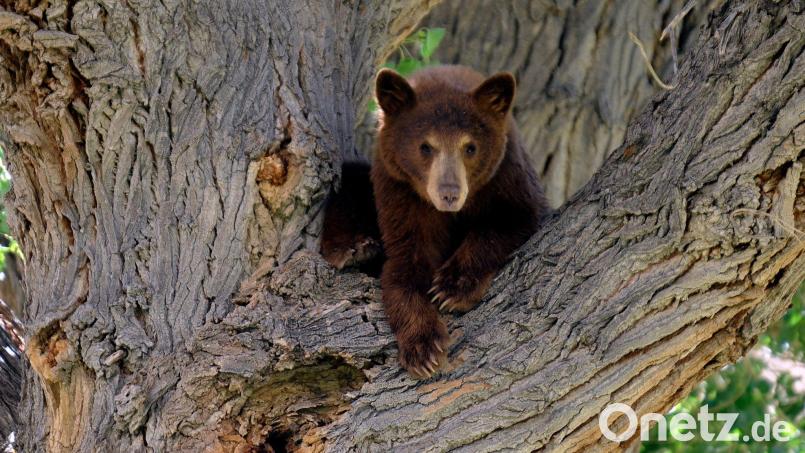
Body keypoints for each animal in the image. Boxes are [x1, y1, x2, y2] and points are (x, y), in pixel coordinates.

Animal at [322, 65, 549, 378]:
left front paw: (452, 287)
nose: (449, 194)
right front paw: (423, 348)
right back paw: (353, 249)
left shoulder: (508, 177)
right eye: (426, 147)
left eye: (470, 147)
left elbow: (513, 221)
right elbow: (405, 264)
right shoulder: (400, 193)